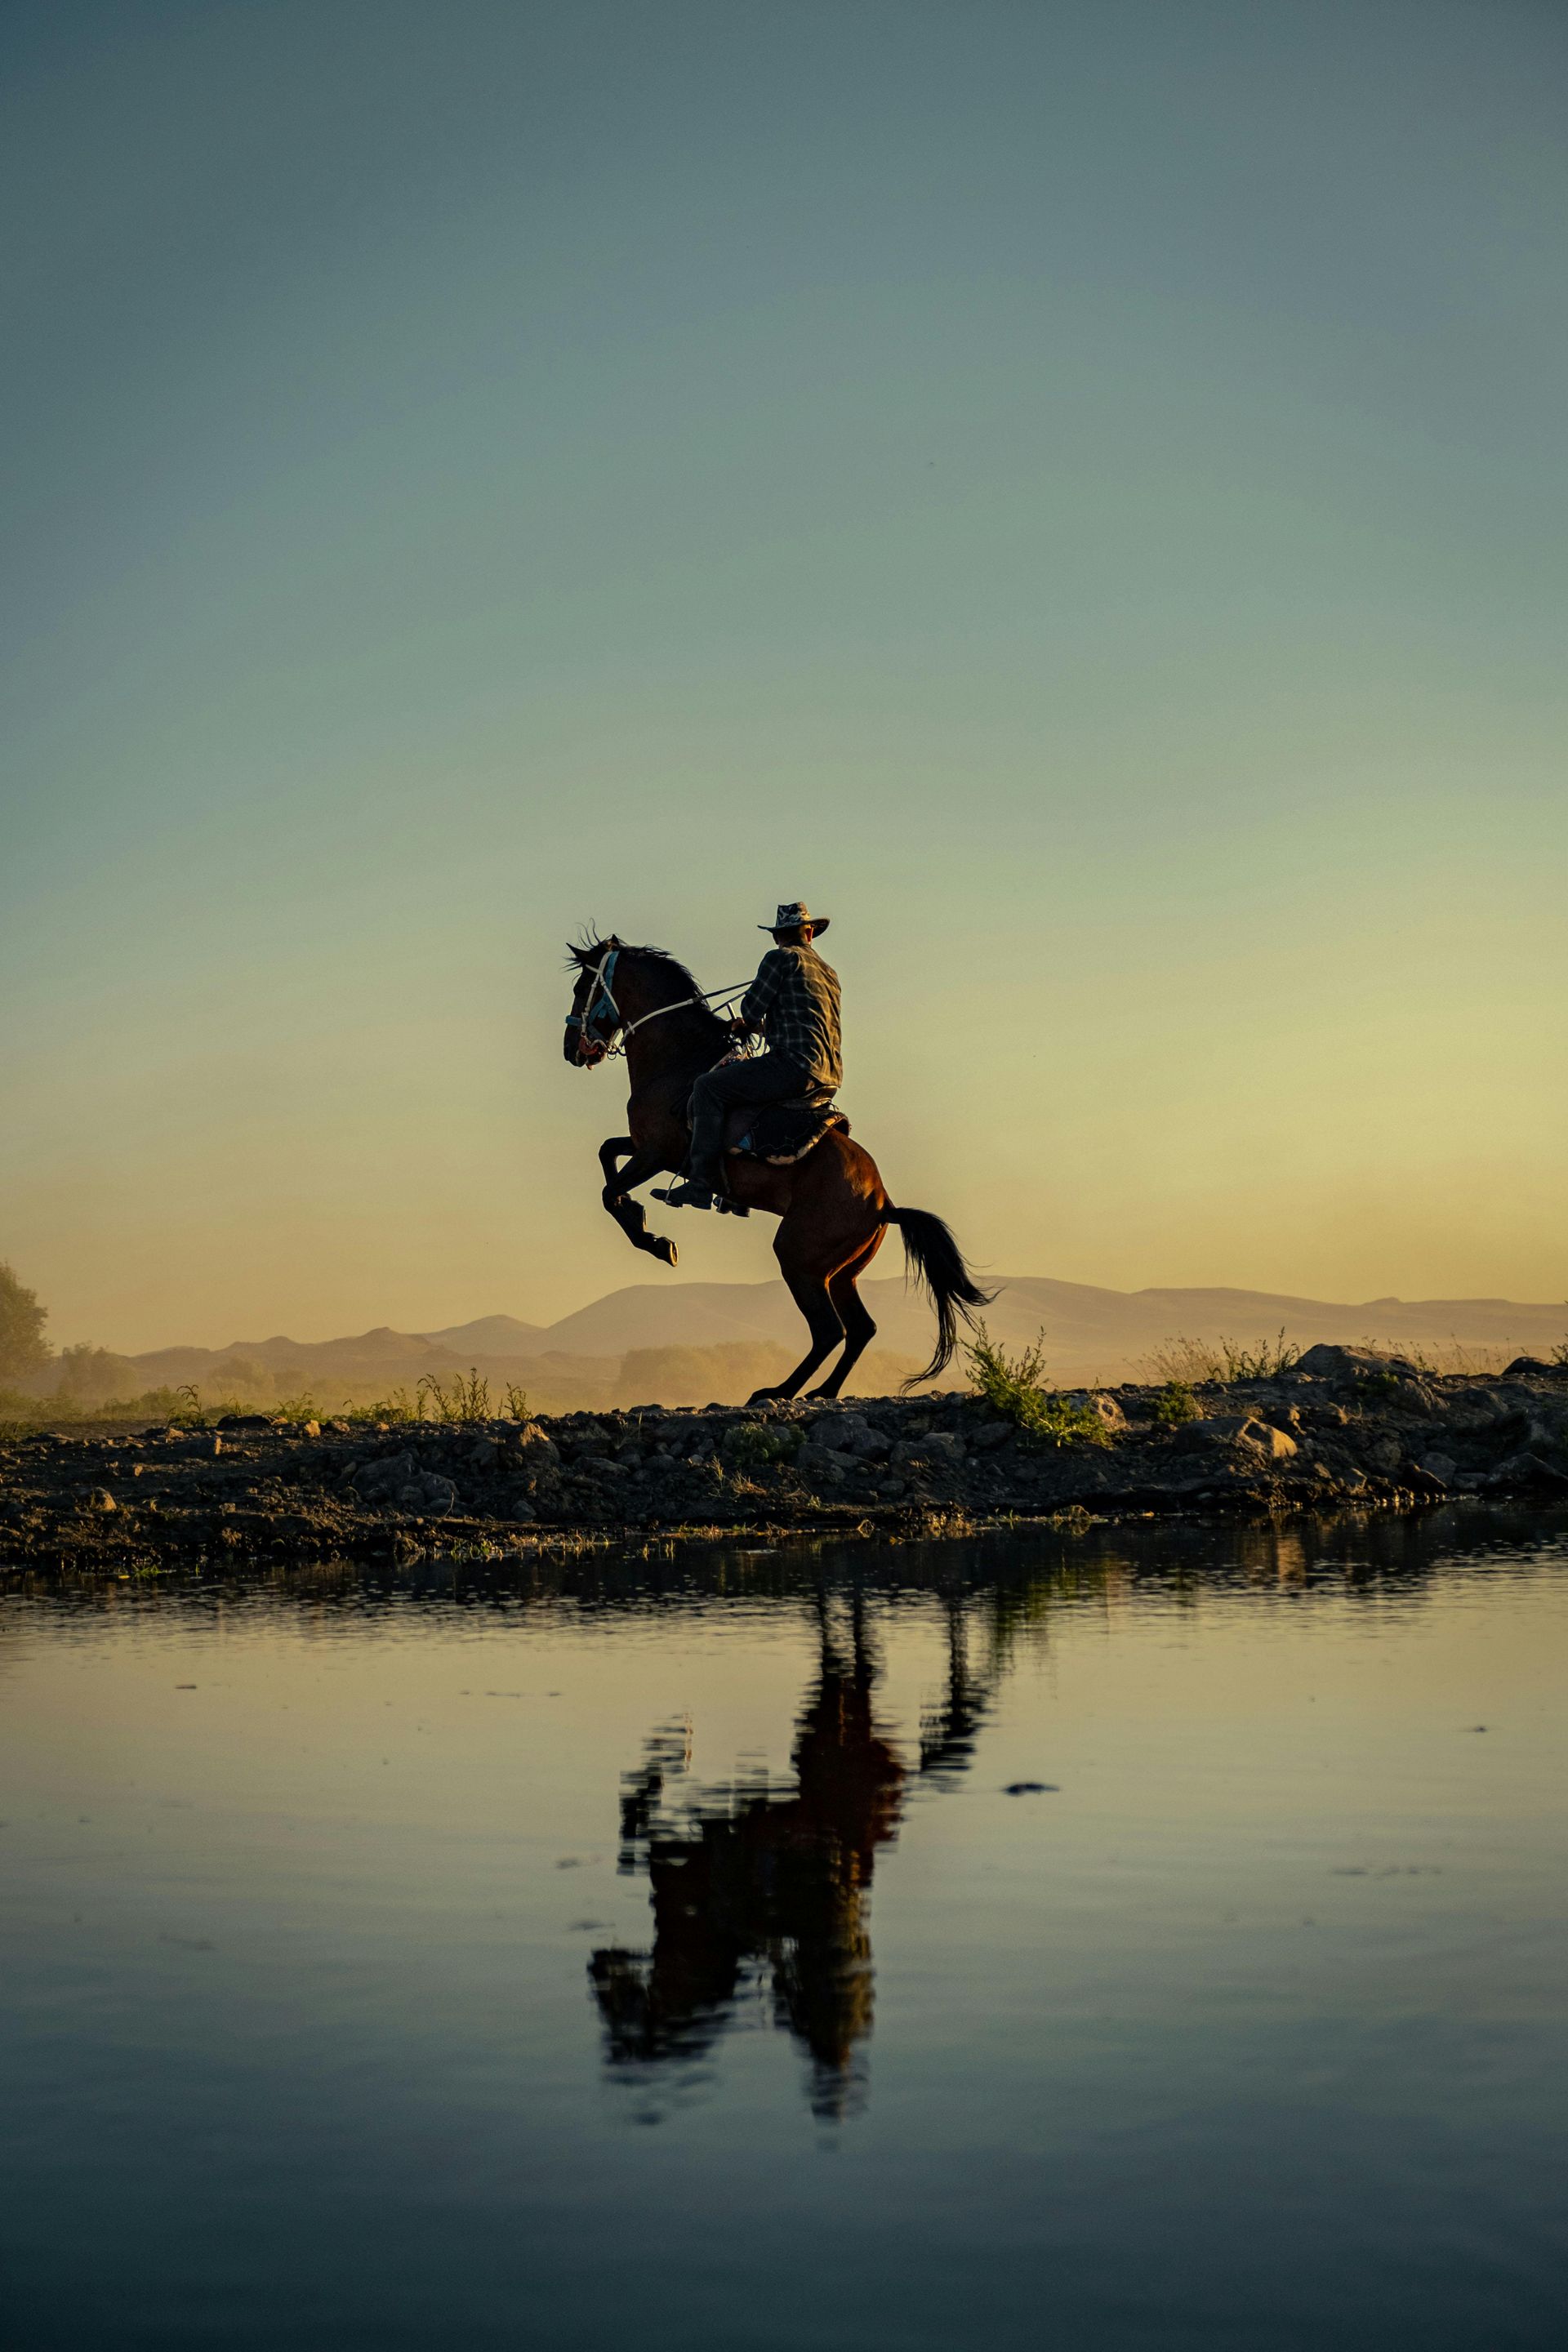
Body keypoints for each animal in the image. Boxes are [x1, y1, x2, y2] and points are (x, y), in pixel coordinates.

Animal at [562, 935, 990, 1401]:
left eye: (582, 987)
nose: (571, 1049)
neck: (678, 1059)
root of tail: (883, 1204)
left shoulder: (657, 1153)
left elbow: (609, 1192)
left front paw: (656, 1241)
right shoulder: (646, 1149)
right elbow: (606, 1154)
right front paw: (643, 1220)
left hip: (799, 1259)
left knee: (829, 1330)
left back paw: (776, 1390)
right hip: (841, 1273)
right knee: (860, 1329)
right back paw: (822, 1391)